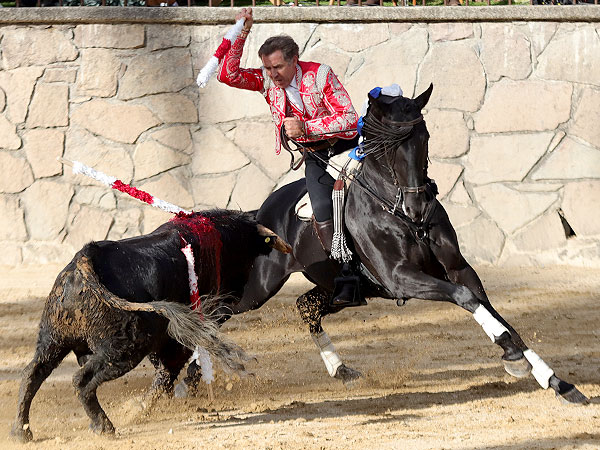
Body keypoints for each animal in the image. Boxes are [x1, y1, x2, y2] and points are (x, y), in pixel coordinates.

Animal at [9, 209, 290, 442]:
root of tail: (84, 262)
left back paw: (21, 432)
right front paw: (139, 409)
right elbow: (167, 373)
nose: (236, 297)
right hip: (124, 349)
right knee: (81, 379)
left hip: (53, 338)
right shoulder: (177, 341)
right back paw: (104, 427)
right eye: (247, 259)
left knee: (33, 373)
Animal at [183, 83, 584, 404]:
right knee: (212, 314)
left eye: (424, 137)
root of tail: (259, 213)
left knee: (305, 307)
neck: (399, 213)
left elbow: (491, 310)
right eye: (389, 147)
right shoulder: (400, 277)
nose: (418, 207)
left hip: (334, 289)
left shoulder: (458, 268)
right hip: (256, 289)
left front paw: (553, 380)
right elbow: (465, 298)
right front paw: (517, 361)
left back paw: (340, 370)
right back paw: (183, 382)